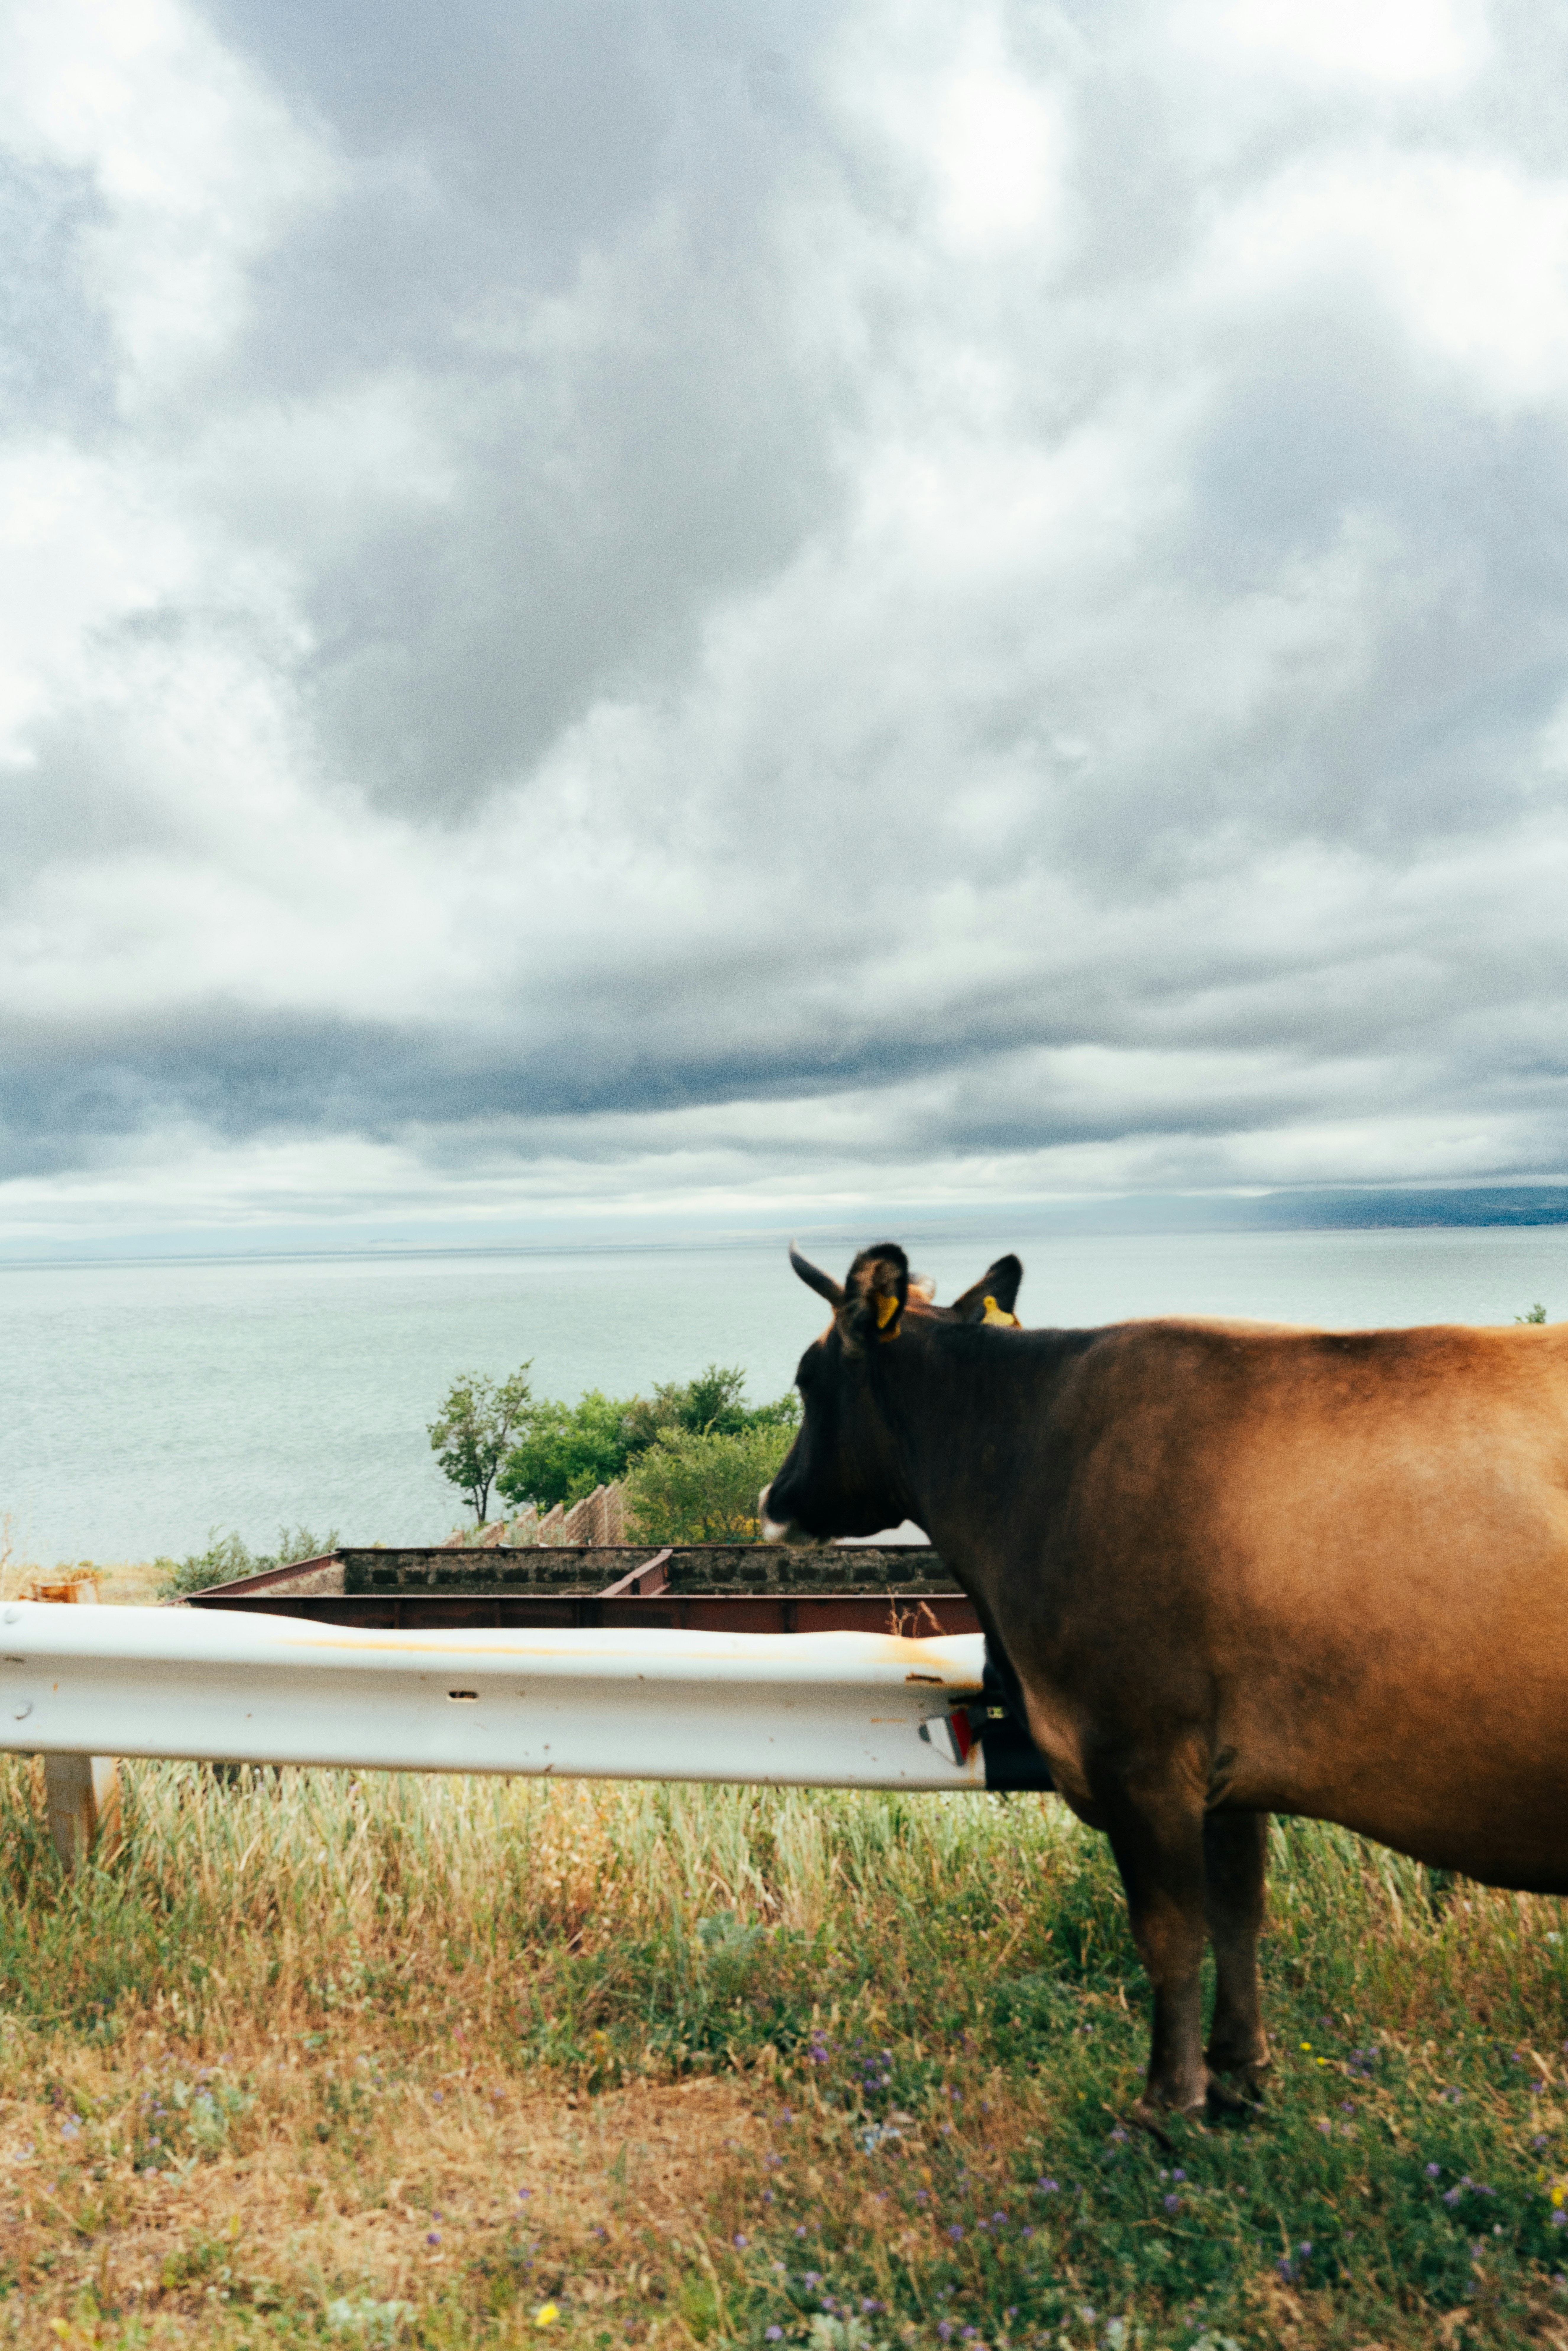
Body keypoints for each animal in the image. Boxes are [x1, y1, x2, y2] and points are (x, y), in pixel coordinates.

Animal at [760, 1238, 1568, 2125]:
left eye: (806, 1378)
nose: (774, 1499)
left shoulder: (1136, 1751)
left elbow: (1169, 1932)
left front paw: (1168, 2105)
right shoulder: (1231, 1767)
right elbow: (1238, 1910)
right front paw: (1239, 2074)